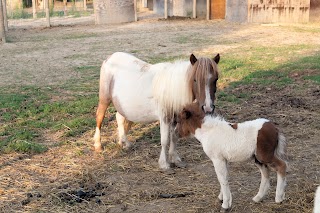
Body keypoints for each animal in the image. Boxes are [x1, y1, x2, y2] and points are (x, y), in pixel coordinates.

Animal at [92, 52, 220, 171]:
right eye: (195, 79)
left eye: (215, 79)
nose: (208, 108)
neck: (172, 88)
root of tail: (110, 57)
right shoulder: (164, 118)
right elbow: (164, 140)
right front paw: (164, 165)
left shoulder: (175, 118)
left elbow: (174, 137)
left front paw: (176, 160)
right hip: (104, 99)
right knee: (99, 118)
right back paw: (98, 145)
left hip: (122, 105)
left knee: (119, 117)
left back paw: (124, 142)